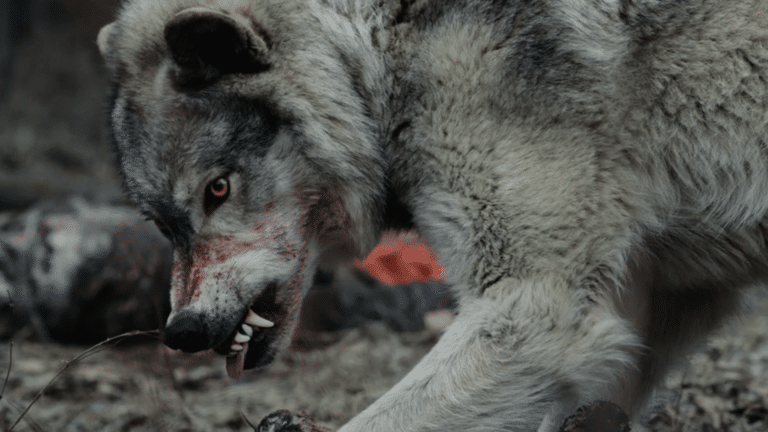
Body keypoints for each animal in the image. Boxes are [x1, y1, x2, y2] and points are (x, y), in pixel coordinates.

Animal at [97, 0, 768, 430]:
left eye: (217, 189)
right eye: (163, 223)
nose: (182, 331)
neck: (384, 52)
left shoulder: (538, 311)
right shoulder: (652, 310)